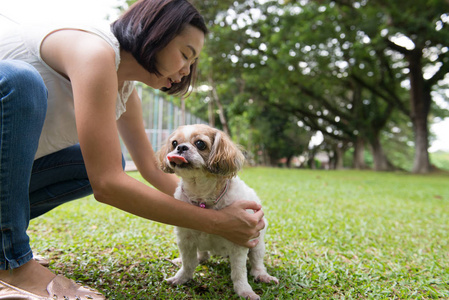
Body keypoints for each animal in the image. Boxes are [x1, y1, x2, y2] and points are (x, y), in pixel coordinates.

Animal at [157, 123, 276, 300]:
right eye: (174, 143)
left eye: (200, 144)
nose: (181, 147)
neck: (202, 194)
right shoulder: (185, 239)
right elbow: (188, 263)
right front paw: (181, 278)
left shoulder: (240, 241)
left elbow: (239, 272)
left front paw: (244, 291)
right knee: (202, 256)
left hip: (257, 243)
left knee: (257, 264)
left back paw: (262, 276)